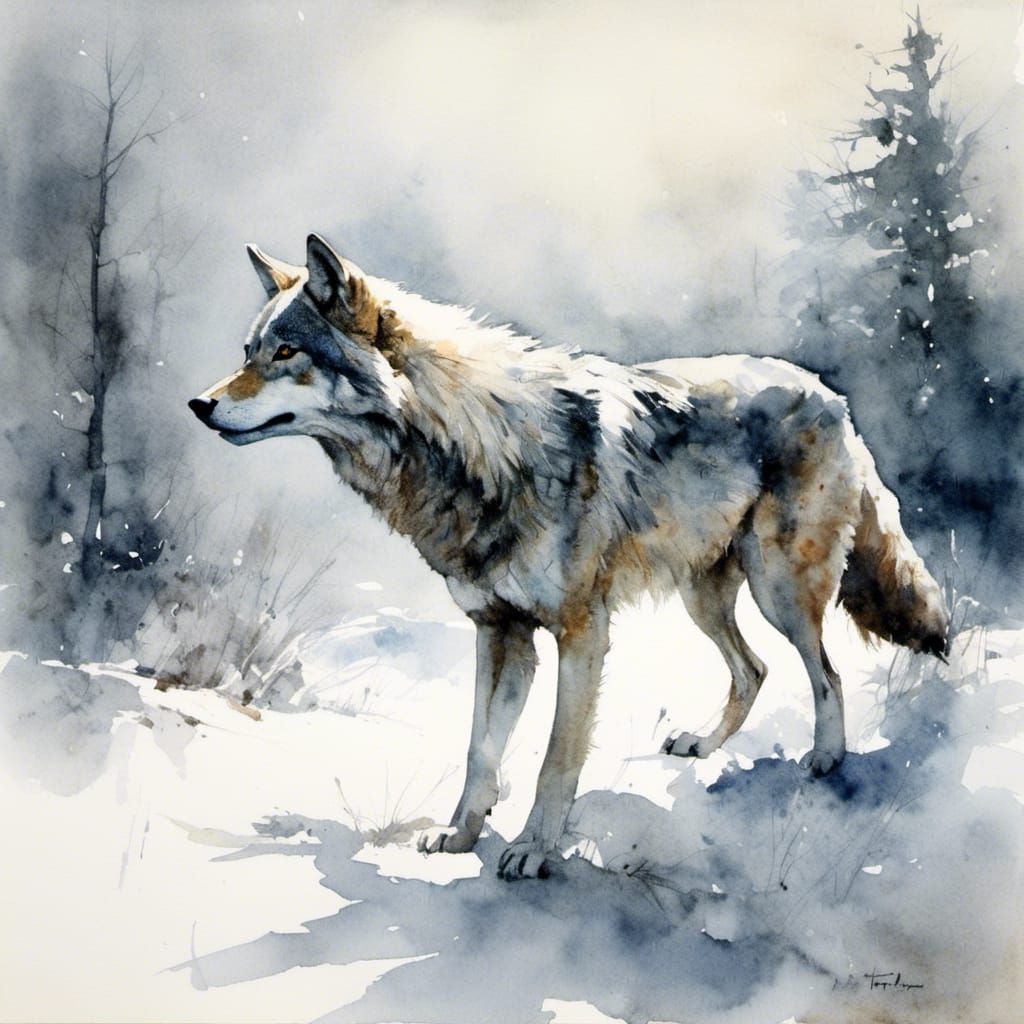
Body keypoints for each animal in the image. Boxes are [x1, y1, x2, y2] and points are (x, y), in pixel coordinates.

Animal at [190, 234, 949, 880]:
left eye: (286, 354)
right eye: (250, 350)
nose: (199, 404)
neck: (475, 449)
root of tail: (829, 393)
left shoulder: (583, 632)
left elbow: (556, 757)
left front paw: (532, 849)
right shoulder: (499, 632)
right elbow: (480, 749)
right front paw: (461, 834)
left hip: (778, 591)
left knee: (826, 672)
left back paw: (825, 758)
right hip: (703, 599)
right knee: (755, 669)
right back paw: (705, 746)